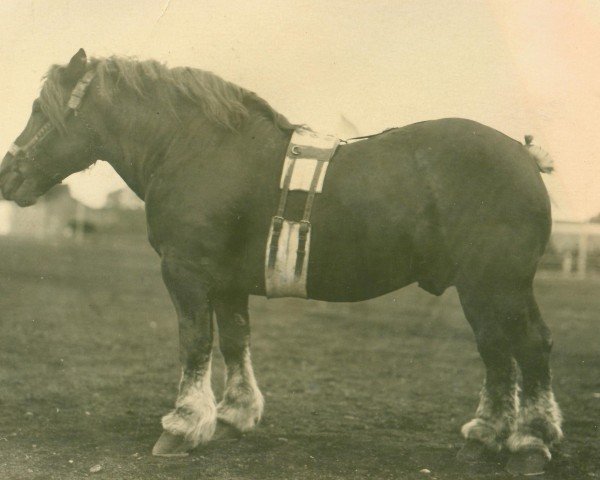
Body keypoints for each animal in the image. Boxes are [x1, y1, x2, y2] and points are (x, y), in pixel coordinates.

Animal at [0, 49, 564, 476]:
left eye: (41, 109)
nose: (9, 175)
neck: (195, 148)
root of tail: (523, 156)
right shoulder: (226, 283)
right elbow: (235, 340)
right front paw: (234, 415)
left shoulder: (186, 273)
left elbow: (195, 343)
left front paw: (183, 425)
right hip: (494, 289)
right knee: (504, 351)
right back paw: (488, 436)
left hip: (495, 285)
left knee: (522, 347)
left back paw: (529, 442)